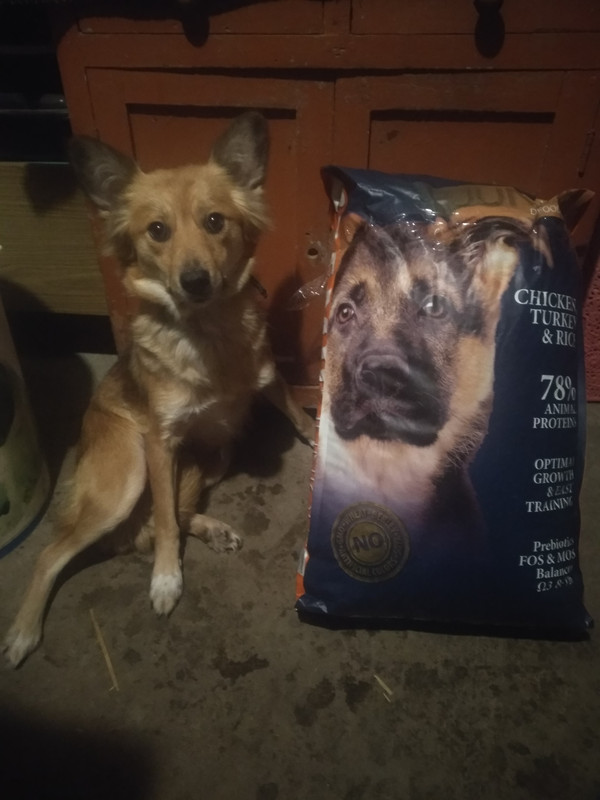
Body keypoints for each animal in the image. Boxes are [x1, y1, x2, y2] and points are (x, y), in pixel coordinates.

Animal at [4, 111, 314, 667]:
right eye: (157, 231)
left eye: (214, 221)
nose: (195, 280)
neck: (207, 335)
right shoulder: (158, 441)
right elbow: (167, 523)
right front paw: (167, 579)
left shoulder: (268, 380)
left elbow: (298, 414)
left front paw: (321, 438)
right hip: (125, 476)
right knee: (62, 549)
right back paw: (22, 631)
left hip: (216, 454)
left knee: (161, 516)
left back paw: (213, 529)